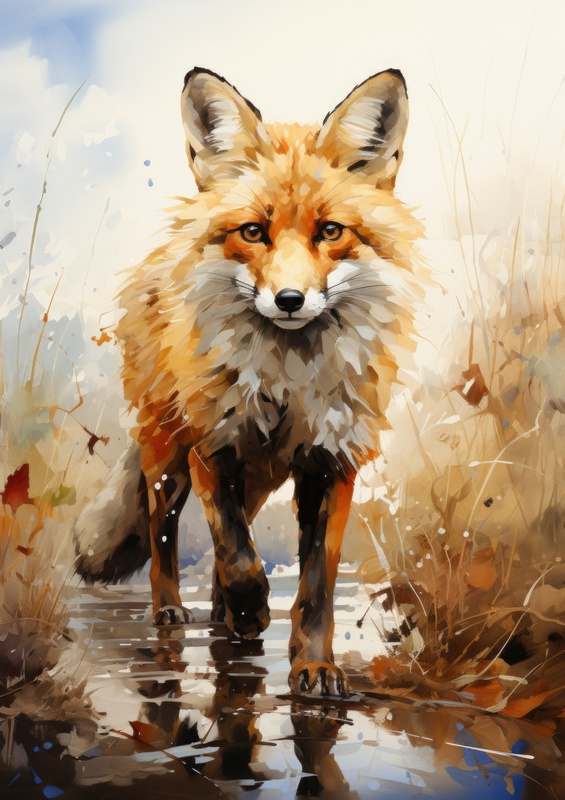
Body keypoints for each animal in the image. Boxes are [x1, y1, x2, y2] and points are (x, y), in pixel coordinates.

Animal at [74, 66, 424, 696]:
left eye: (329, 231)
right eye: (255, 232)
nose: (289, 299)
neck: (288, 382)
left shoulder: (331, 464)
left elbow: (315, 586)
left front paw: (315, 666)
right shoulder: (213, 451)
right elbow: (238, 556)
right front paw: (252, 609)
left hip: (259, 476)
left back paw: (223, 614)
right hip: (169, 462)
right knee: (165, 536)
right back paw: (177, 609)